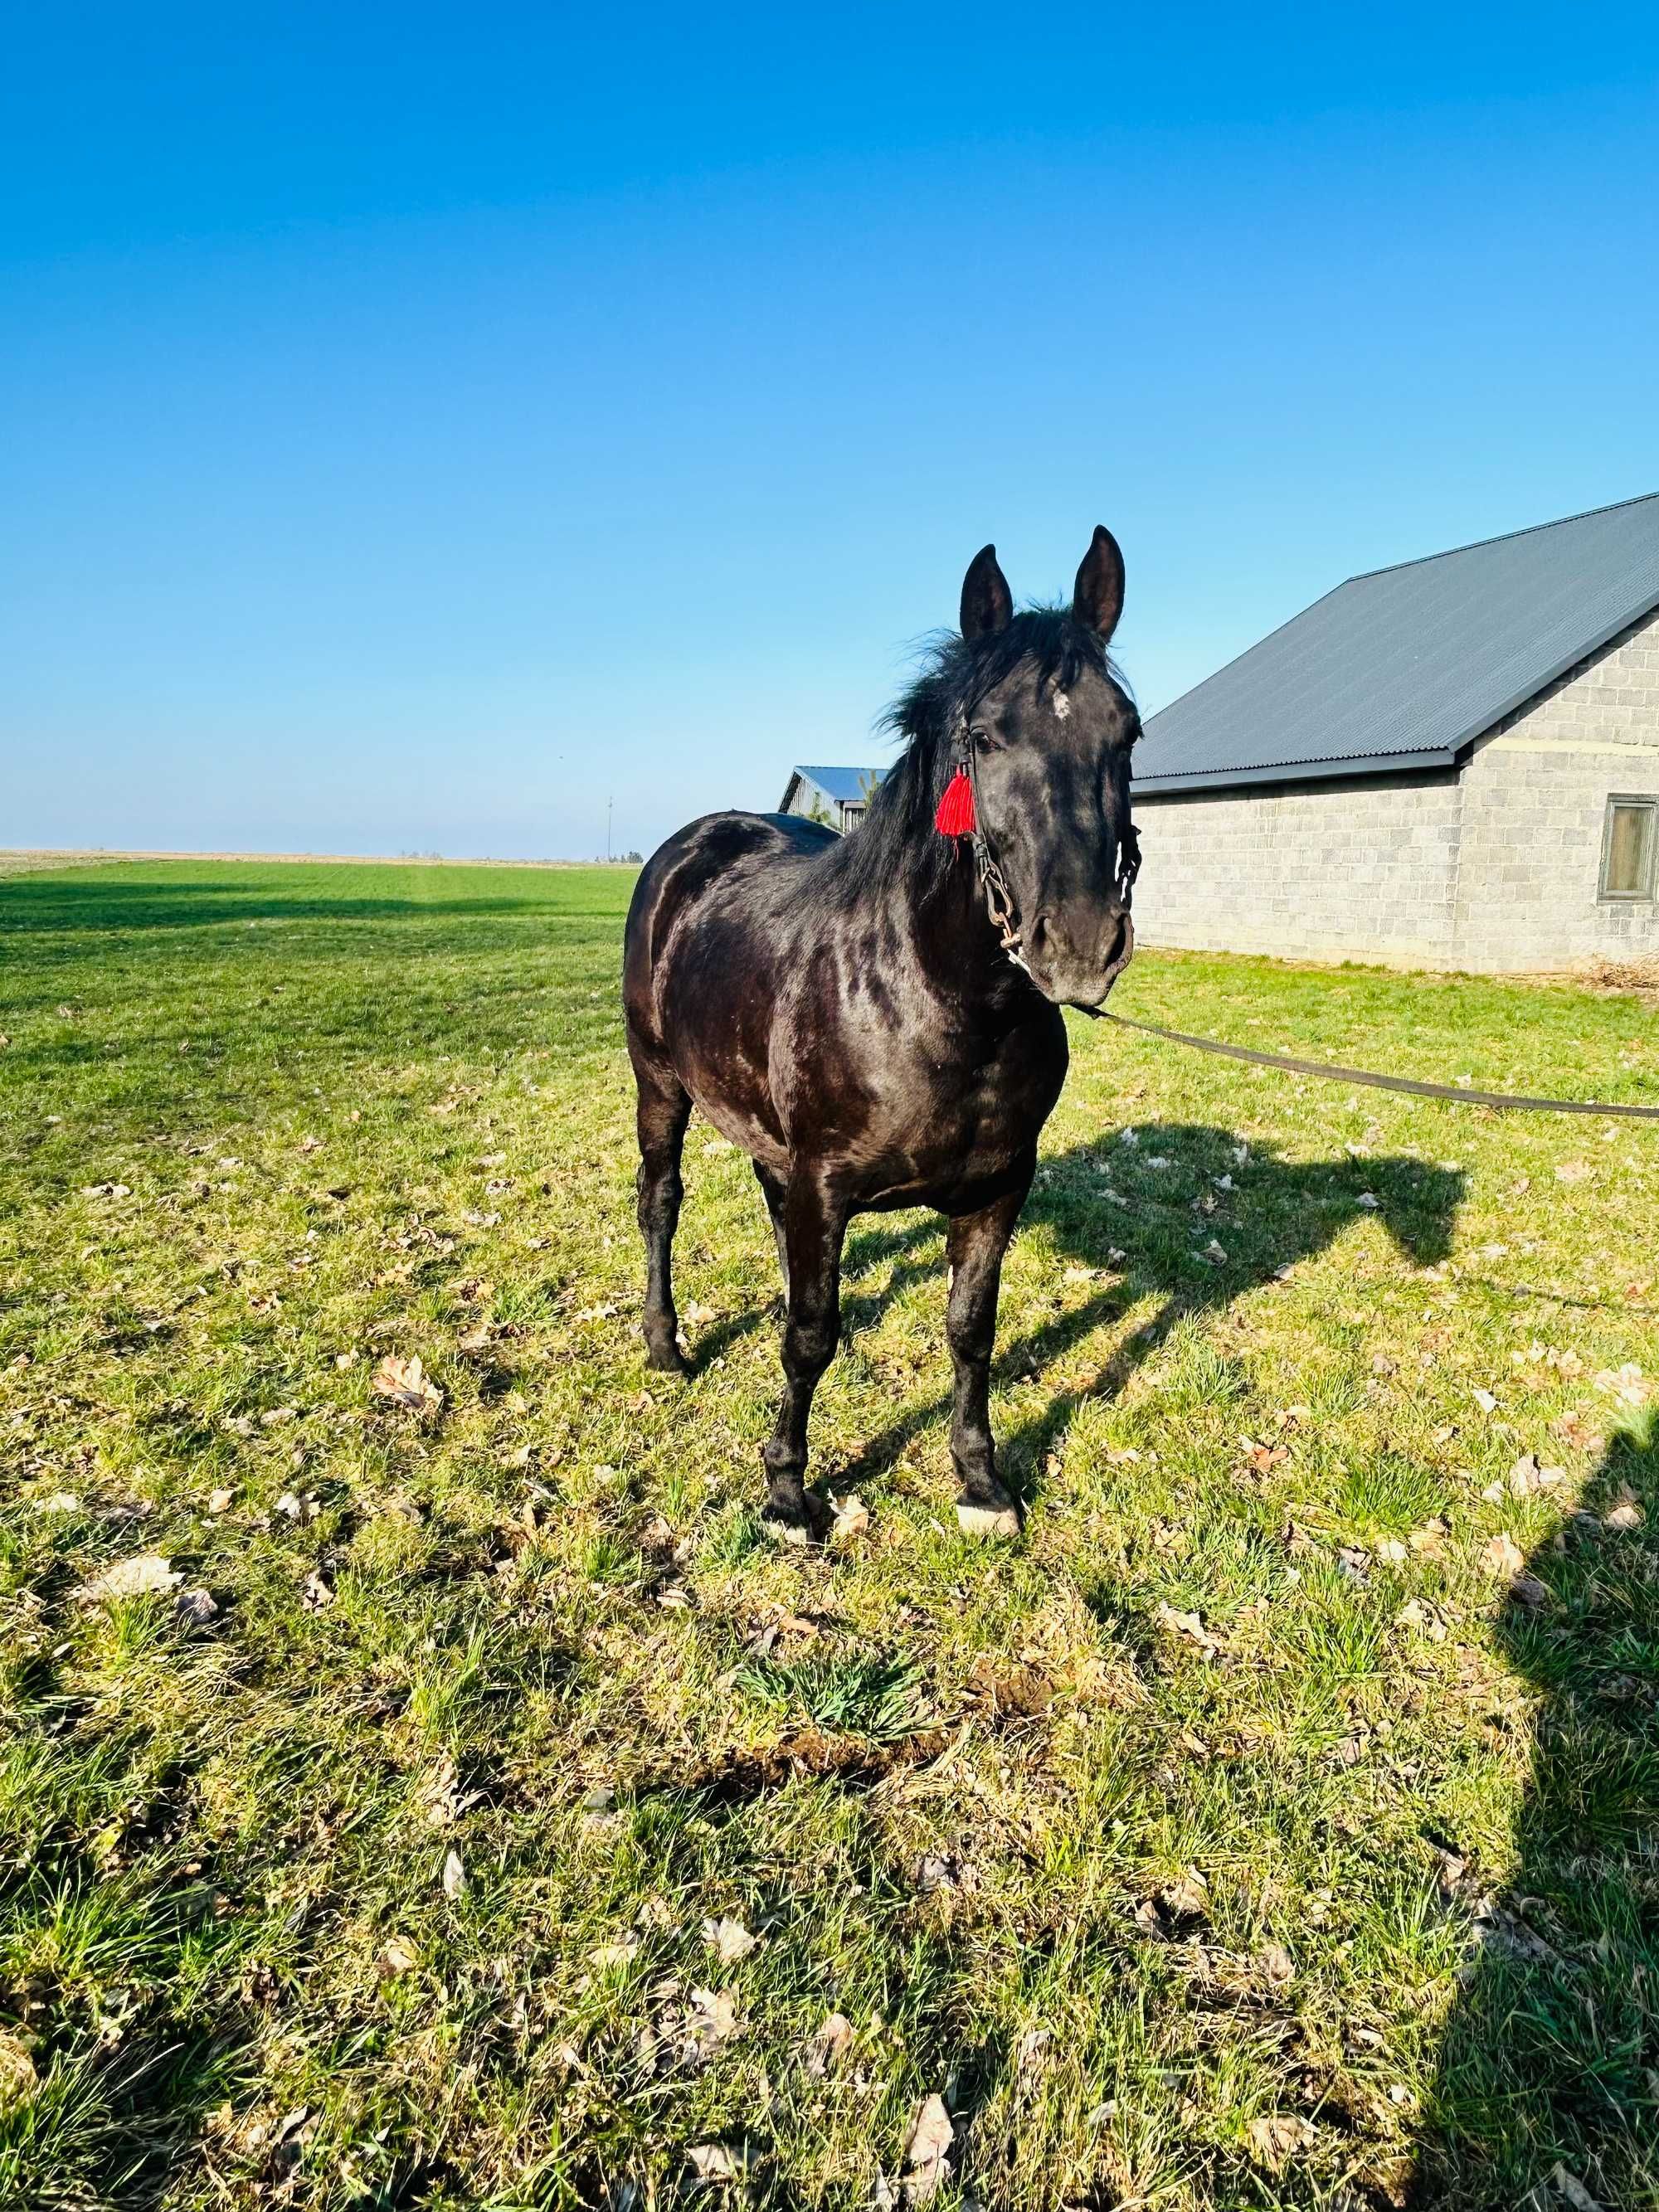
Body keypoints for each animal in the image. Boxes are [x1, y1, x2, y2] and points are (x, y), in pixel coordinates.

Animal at [624, 531, 1141, 1539]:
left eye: (1127, 731)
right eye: (984, 738)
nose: (1078, 943)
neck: (943, 1009)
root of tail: (695, 843)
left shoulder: (998, 1189)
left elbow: (969, 1330)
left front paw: (980, 1480)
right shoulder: (824, 1181)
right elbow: (808, 1337)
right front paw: (788, 1490)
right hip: (658, 1085)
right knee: (660, 1204)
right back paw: (666, 1346)